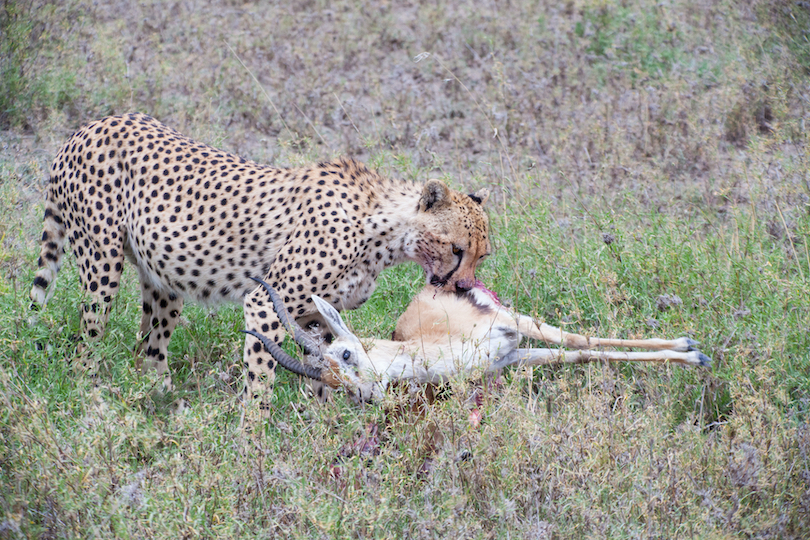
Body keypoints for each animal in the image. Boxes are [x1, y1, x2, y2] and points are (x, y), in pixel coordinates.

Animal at [28, 112, 490, 402]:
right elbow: (261, 376)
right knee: (88, 343)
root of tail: (90, 125)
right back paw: (92, 401)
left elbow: (323, 372)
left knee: (150, 349)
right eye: (456, 248)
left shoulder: (318, 316)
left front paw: (317, 428)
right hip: (102, 267)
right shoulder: (267, 301)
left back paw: (163, 402)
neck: (383, 231)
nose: (465, 287)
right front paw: (253, 439)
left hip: (163, 280)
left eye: (481, 256)